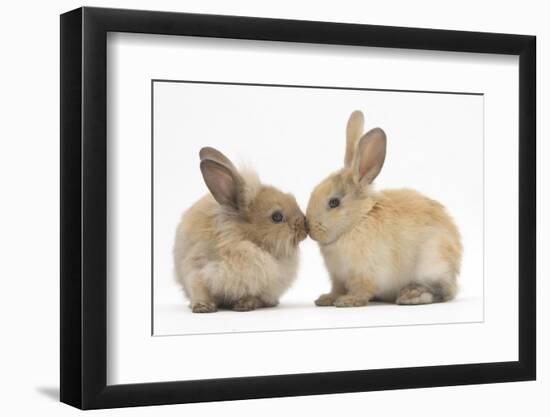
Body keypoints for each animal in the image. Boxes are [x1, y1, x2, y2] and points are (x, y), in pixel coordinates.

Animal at [175, 146, 308, 312]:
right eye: (277, 217)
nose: (305, 226)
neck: (242, 240)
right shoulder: (196, 271)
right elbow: (200, 291)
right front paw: (203, 307)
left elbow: (252, 294)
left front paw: (245, 304)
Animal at [308, 110, 464, 306]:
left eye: (333, 203)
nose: (309, 229)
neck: (358, 221)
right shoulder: (338, 277)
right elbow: (336, 289)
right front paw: (325, 299)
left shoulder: (365, 273)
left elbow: (362, 290)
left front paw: (348, 301)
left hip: (433, 264)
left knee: (443, 292)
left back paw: (412, 295)